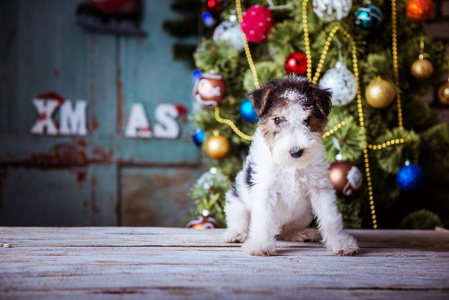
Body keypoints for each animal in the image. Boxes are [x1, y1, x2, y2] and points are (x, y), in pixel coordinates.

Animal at [222, 76, 358, 256]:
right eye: (277, 120)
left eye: (307, 119)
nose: (296, 151)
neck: (291, 166)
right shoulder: (265, 188)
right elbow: (263, 219)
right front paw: (260, 245)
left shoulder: (319, 188)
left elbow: (330, 217)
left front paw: (340, 243)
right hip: (237, 201)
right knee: (239, 221)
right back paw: (236, 234)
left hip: (302, 215)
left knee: (287, 230)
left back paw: (301, 233)